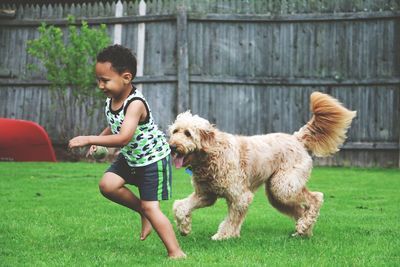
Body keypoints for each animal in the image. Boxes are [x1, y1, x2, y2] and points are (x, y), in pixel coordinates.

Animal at [169, 92, 356, 241]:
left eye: (188, 133)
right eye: (175, 131)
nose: (172, 146)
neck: (212, 153)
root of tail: (296, 138)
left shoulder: (240, 196)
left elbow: (231, 219)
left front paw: (223, 236)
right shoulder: (205, 195)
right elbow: (180, 206)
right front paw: (184, 228)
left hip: (283, 186)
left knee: (315, 198)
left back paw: (304, 226)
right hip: (277, 194)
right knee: (300, 210)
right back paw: (303, 230)